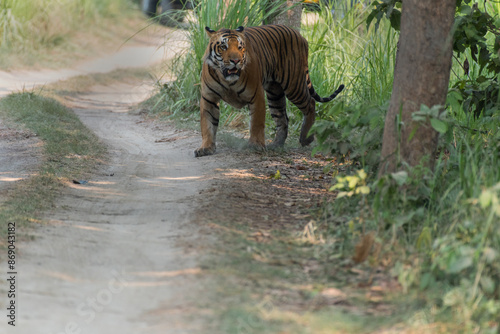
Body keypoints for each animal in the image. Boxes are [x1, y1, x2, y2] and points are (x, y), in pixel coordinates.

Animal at [194, 24, 344, 157]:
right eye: (223, 47)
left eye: (240, 47)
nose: (235, 61)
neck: (227, 79)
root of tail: (299, 35)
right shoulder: (209, 98)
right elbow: (207, 125)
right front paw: (206, 148)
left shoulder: (256, 95)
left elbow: (257, 122)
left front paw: (255, 145)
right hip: (275, 93)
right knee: (283, 118)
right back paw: (276, 144)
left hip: (294, 84)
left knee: (310, 103)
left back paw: (306, 138)